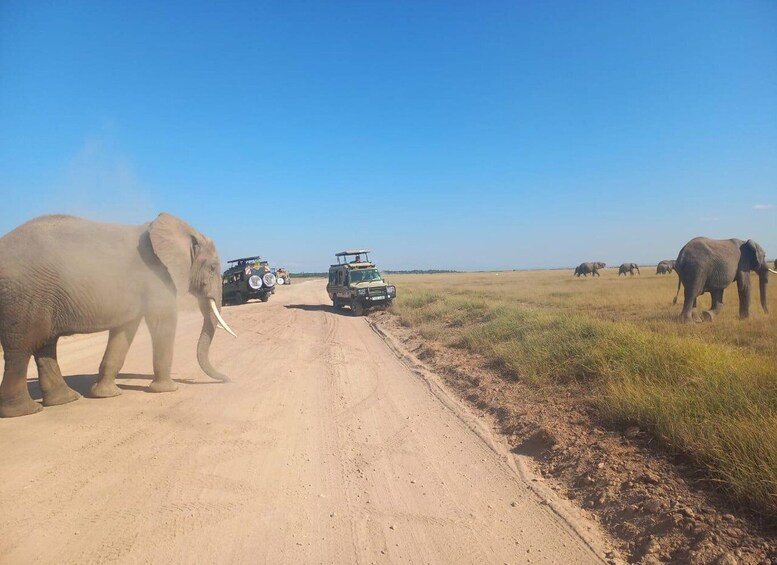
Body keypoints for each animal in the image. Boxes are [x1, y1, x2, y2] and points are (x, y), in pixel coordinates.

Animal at [0, 214, 237, 417]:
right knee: (21, 350)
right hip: (24, 296)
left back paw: (65, 400)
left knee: (45, 345)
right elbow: (163, 321)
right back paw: (25, 411)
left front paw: (105, 395)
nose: (227, 379)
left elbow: (125, 330)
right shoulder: (157, 277)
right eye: (212, 267)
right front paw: (168, 390)